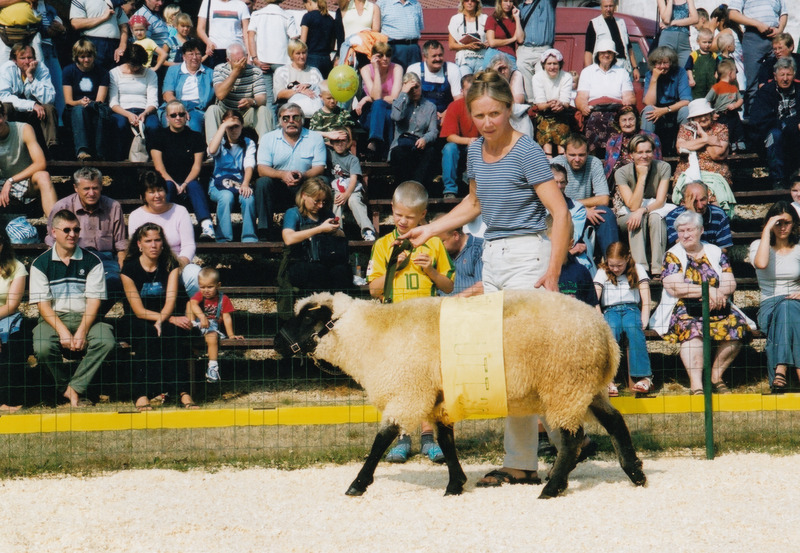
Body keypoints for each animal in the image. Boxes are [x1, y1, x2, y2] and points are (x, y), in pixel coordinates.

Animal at [278, 292, 648, 498]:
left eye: (308, 317)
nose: (277, 342)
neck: (369, 337)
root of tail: (605, 334)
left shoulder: (408, 392)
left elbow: (381, 440)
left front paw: (358, 484)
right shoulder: (436, 398)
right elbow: (445, 441)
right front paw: (455, 484)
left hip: (565, 384)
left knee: (572, 440)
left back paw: (551, 488)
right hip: (586, 387)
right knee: (615, 423)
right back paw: (635, 474)